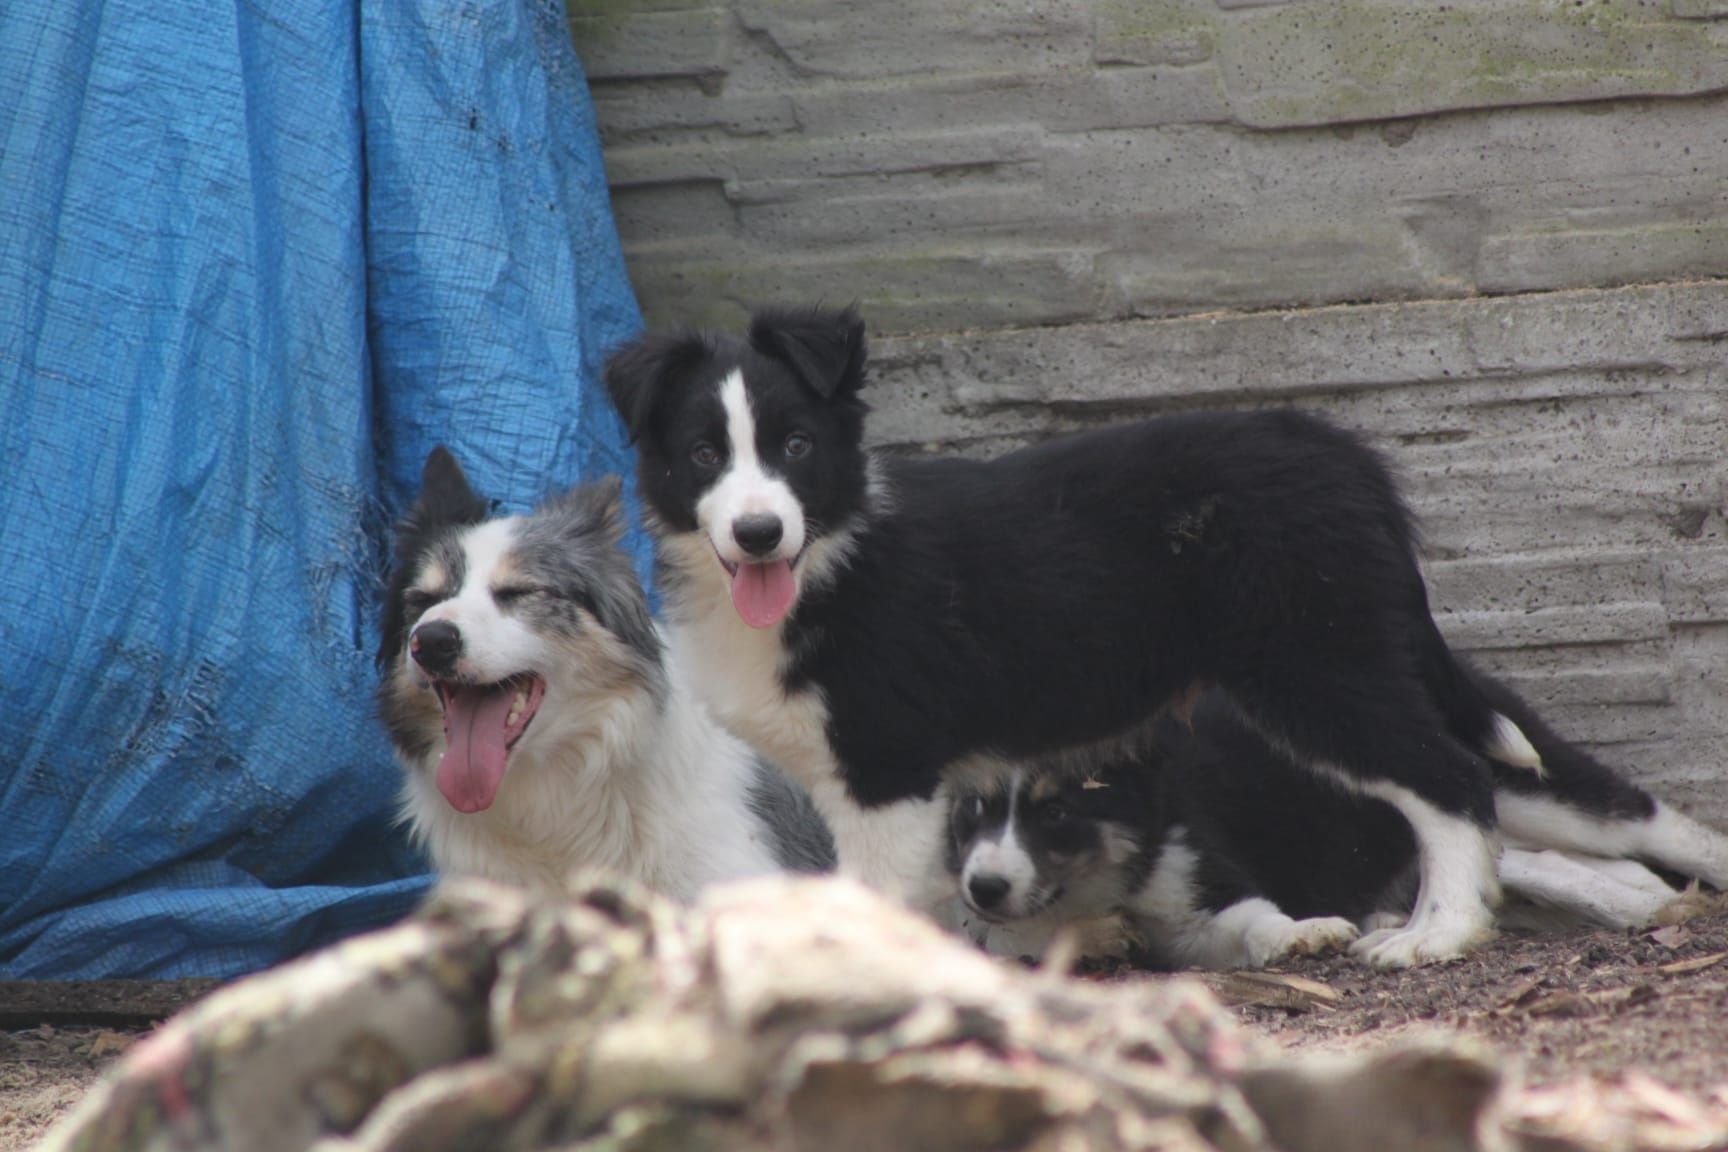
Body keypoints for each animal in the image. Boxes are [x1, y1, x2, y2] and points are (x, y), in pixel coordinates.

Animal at [608, 309, 1569, 974]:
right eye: (703, 455)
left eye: (798, 446)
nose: (759, 533)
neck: (830, 552)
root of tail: (1344, 453)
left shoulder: (889, 770)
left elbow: (882, 895)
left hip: (1317, 663)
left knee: (1449, 777)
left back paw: (1439, 933)